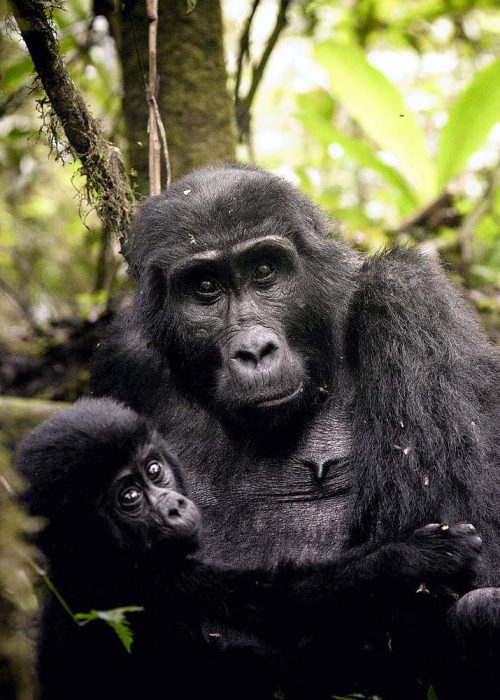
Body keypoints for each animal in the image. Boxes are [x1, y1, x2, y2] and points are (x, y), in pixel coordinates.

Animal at [15, 400, 482, 700]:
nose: (174, 506)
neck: (90, 556)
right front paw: (411, 559)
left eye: (154, 470)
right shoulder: (147, 582)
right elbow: (281, 609)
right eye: (129, 497)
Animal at [94, 163, 500, 696]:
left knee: (479, 610)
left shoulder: (408, 300)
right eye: (205, 286)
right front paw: (400, 563)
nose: (254, 351)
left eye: (265, 271)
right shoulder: (121, 365)